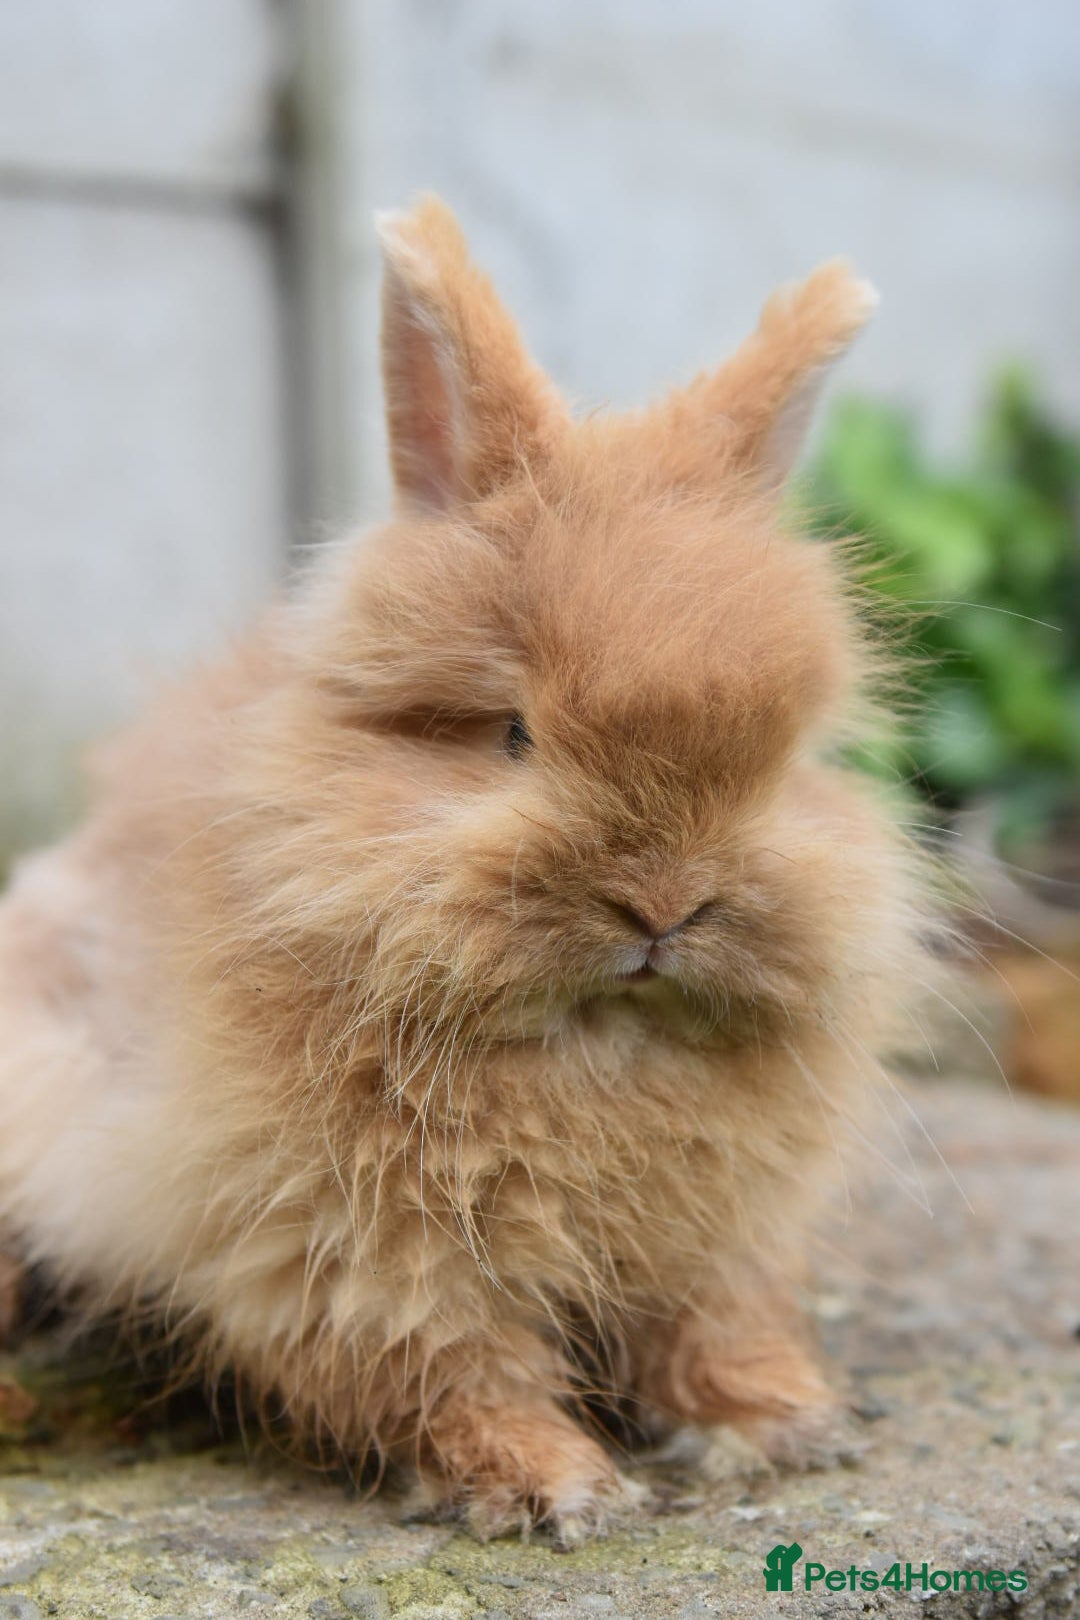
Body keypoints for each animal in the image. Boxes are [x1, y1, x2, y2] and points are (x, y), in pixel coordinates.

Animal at [0, 196, 930, 1545]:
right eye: (513, 735)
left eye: (774, 760)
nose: (664, 902)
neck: (596, 1046)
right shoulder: (355, 1255)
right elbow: (451, 1372)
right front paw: (553, 1490)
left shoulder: (722, 1240)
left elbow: (714, 1324)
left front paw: (777, 1426)